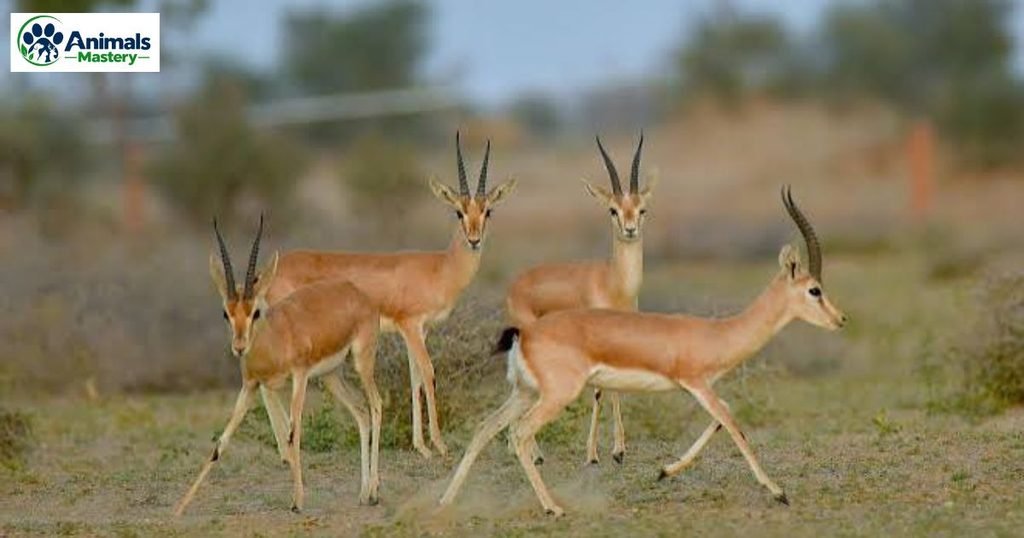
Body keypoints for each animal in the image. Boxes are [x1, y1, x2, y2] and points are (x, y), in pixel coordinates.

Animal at [175, 217, 383, 515]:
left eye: (255, 312)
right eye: (226, 313)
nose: (239, 347)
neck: (273, 340)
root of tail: (357, 292)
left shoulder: (299, 377)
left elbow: (293, 433)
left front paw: (297, 502)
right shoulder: (250, 386)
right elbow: (221, 443)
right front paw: (179, 508)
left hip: (361, 363)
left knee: (376, 405)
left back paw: (374, 492)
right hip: (331, 376)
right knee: (361, 412)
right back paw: (364, 493)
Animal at [265, 133, 517, 458]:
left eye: (488, 211)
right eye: (458, 211)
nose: (474, 240)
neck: (441, 267)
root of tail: (272, 269)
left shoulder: (418, 331)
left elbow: (415, 379)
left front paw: (421, 446)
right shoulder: (410, 325)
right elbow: (429, 373)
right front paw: (439, 445)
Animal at [440, 187, 847, 516]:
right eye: (814, 290)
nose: (840, 319)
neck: (718, 333)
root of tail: (523, 334)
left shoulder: (702, 388)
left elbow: (722, 417)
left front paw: (665, 471)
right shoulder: (696, 383)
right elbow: (734, 425)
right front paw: (778, 491)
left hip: (524, 392)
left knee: (485, 428)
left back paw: (446, 501)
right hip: (555, 396)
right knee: (520, 434)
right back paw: (553, 507)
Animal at [507, 133, 652, 465]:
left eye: (641, 209)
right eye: (612, 209)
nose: (630, 230)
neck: (614, 284)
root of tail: (516, 282)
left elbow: (614, 388)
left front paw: (618, 451)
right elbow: (598, 391)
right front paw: (594, 454)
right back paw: (533, 453)